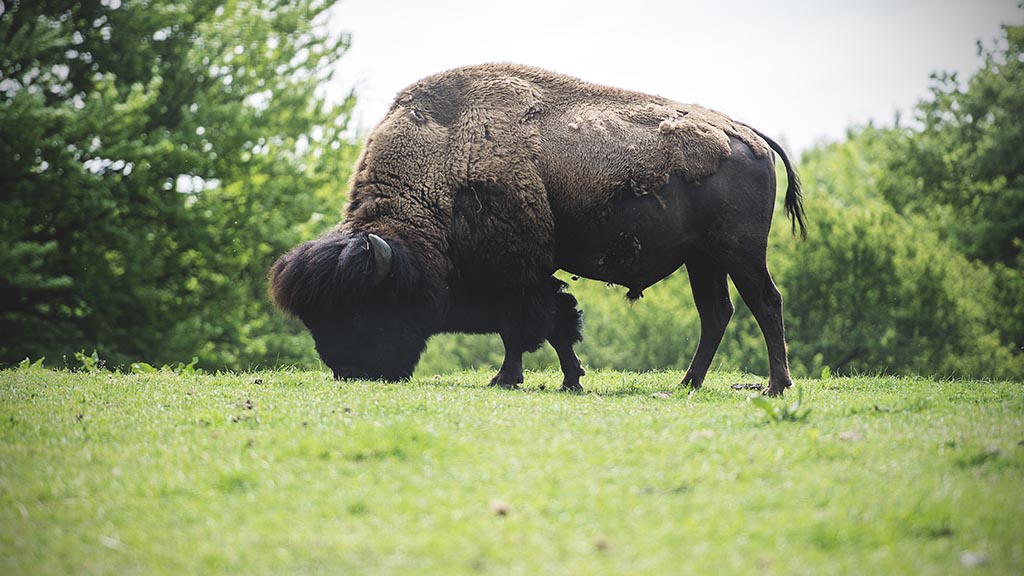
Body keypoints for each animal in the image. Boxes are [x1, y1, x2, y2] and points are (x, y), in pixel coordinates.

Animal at [270, 64, 806, 395]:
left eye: (362, 309)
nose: (350, 371)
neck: (443, 164)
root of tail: (749, 135)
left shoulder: (515, 273)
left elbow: (525, 327)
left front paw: (506, 378)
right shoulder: (530, 274)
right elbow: (556, 324)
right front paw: (572, 379)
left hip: (738, 251)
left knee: (766, 303)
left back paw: (776, 386)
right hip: (702, 259)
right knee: (716, 313)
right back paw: (686, 384)